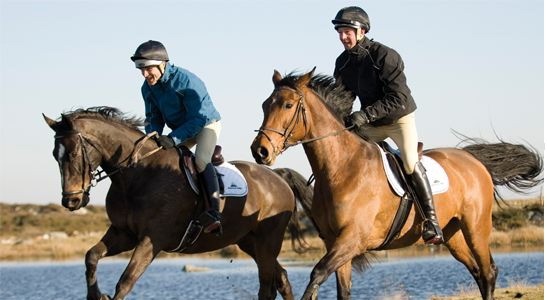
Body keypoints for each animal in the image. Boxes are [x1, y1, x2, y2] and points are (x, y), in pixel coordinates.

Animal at [44, 106, 312, 298]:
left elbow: (125, 282)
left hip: (268, 241)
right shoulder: (123, 234)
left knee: (269, 284)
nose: (71, 200)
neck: (137, 175)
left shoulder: (153, 239)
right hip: (249, 241)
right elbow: (91, 256)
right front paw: (95, 294)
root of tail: (277, 176)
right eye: (54, 156)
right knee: (281, 279)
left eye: (73, 153)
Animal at [252, 69, 544, 300]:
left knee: (488, 271)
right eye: (265, 105)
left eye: (288, 105)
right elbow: (341, 290)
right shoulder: (335, 242)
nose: (260, 151)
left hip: (476, 227)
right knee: (477, 272)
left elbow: (317, 274)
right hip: (453, 234)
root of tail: (473, 160)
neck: (341, 167)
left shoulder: (353, 240)